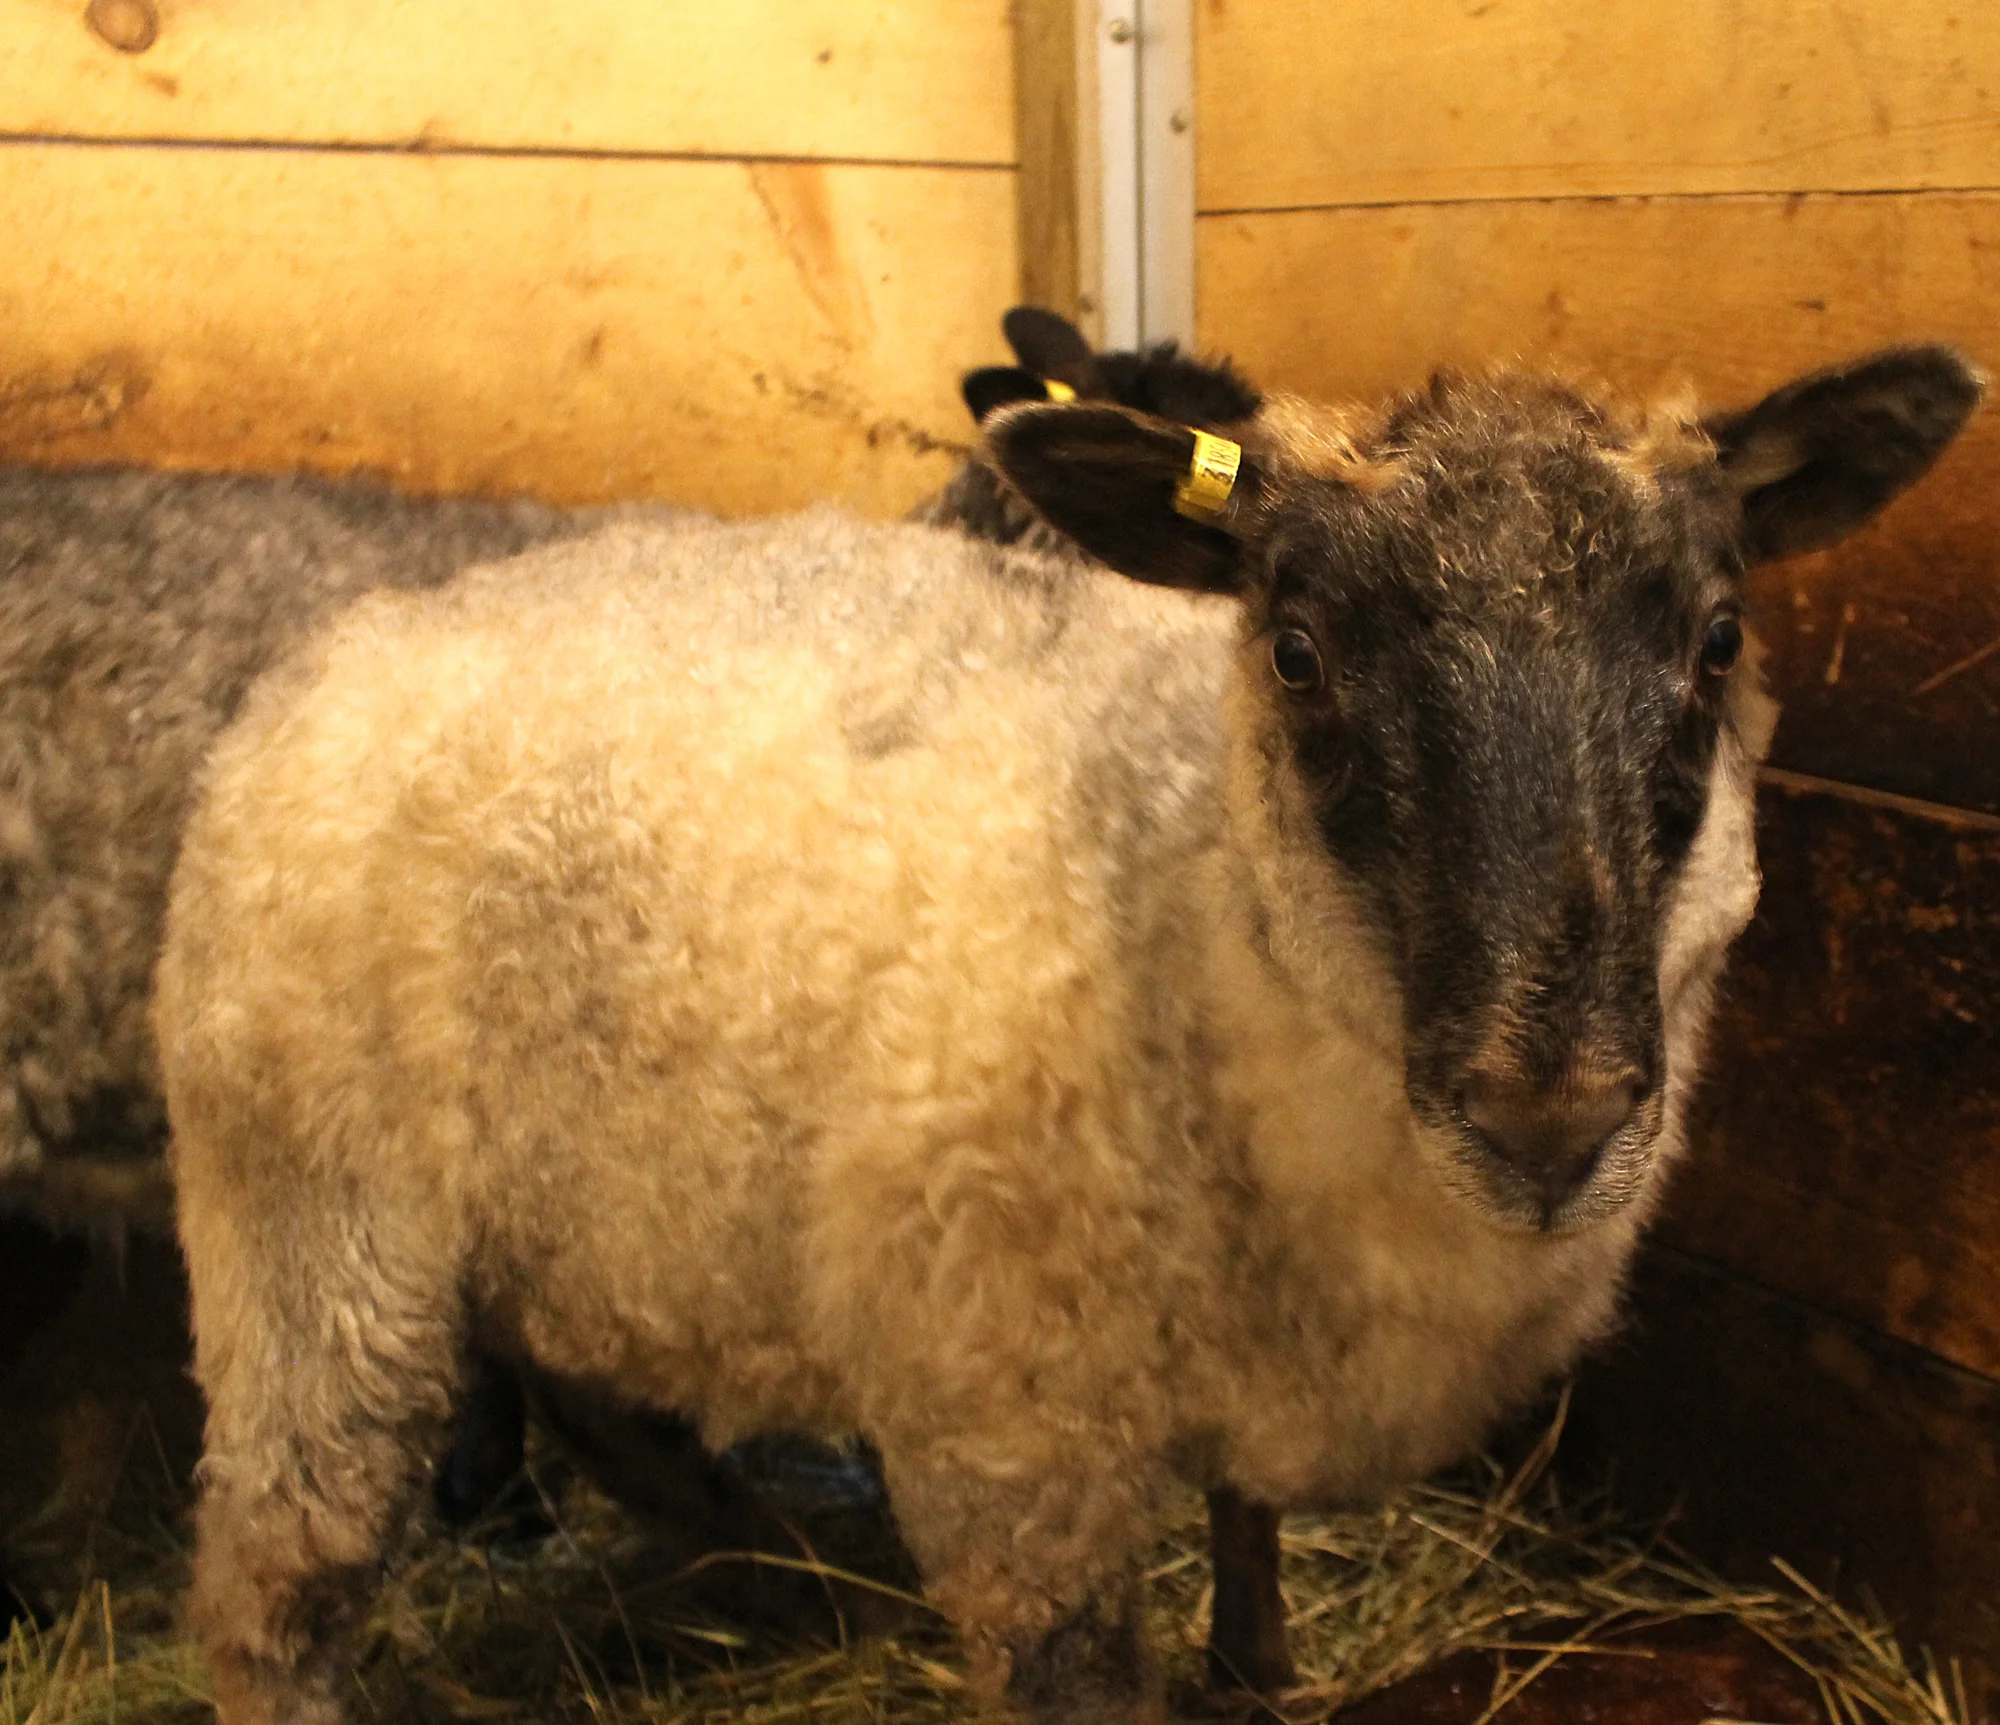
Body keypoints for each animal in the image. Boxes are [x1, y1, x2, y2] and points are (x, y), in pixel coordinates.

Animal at [156, 344, 1977, 1725]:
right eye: (1296, 652)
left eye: (1718, 640)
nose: (1553, 1118)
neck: (1190, 897)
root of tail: (349, 640)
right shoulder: (1016, 1438)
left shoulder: (1254, 1364)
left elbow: (1250, 1572)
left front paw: (1259, 1673)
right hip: (312, 1221)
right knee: (278, 1583)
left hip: (566, 1195)